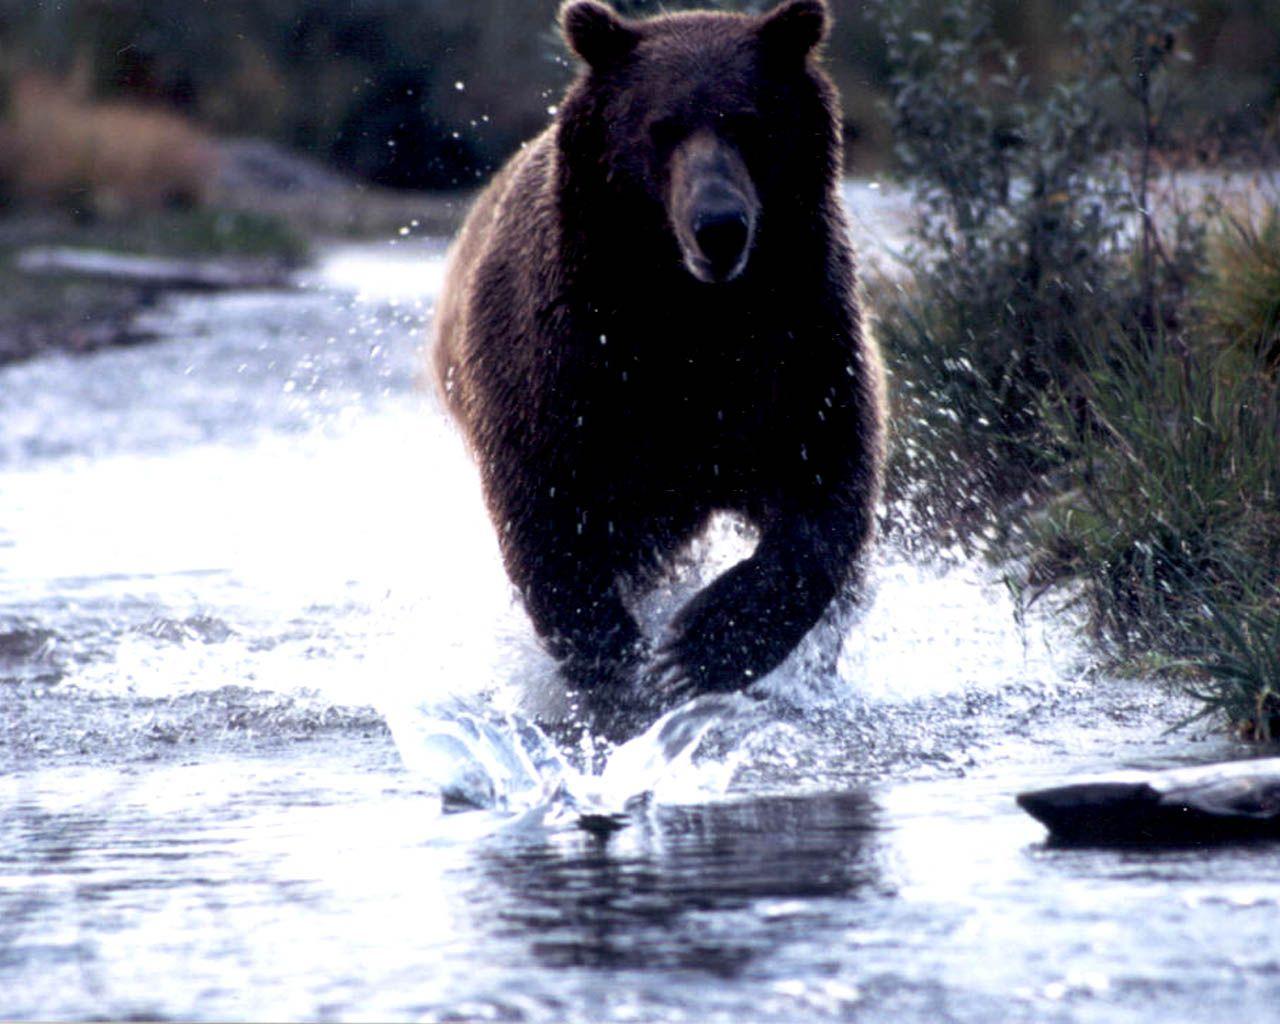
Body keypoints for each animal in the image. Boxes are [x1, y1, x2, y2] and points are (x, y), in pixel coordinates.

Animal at [433, 0, 885, 725]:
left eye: (750, 123)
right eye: (661, 127)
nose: (719, 226)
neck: (689, 315)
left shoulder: (799, 344)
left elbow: (825, 487)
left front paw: (699, 646)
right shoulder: (573, 363)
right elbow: (549, 515)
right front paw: (621, 664)